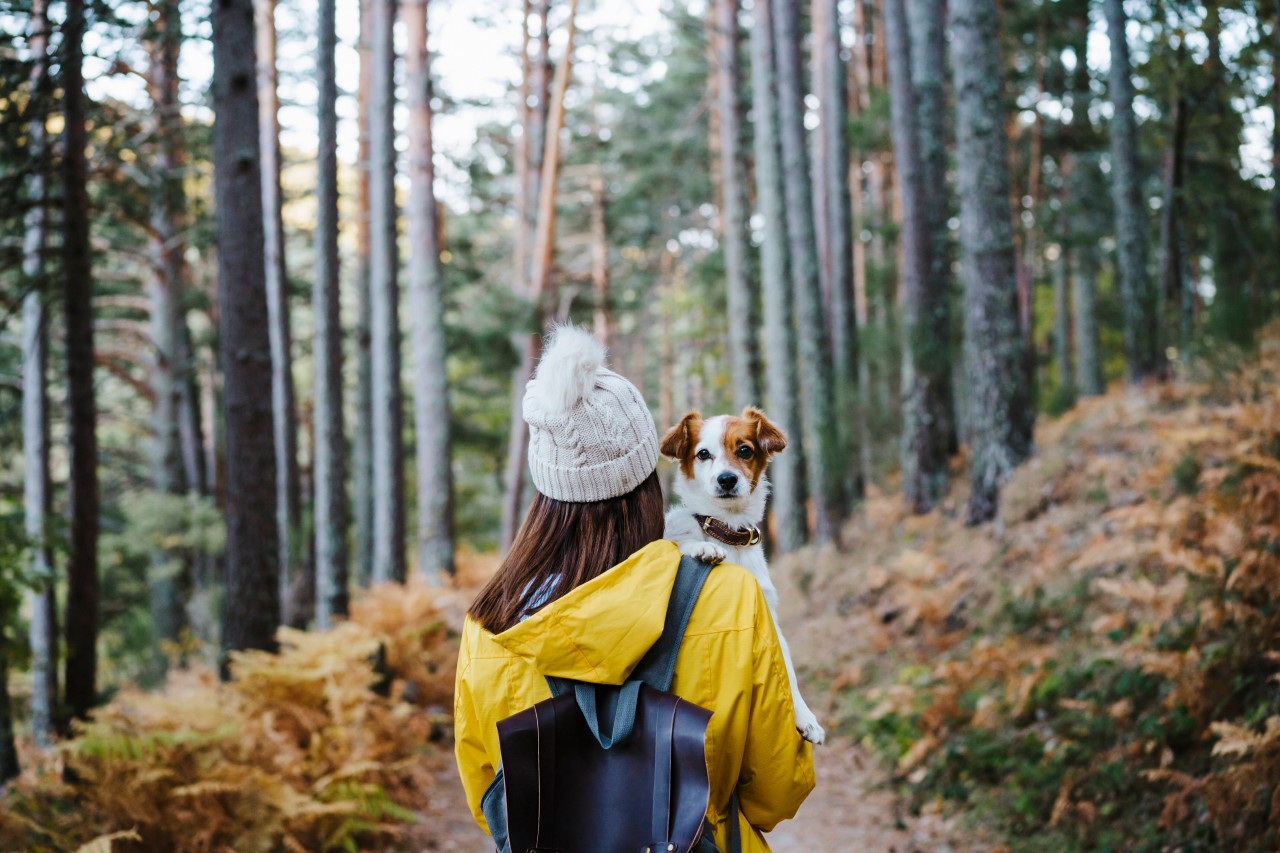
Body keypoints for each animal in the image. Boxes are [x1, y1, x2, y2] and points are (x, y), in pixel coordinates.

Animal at [660, 404, 829, 742]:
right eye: (703, 454)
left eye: (744, 450)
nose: (727, 479)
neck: (728, 530)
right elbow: (681, 539)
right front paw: (701, 547)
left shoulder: (767, 615)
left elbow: (787, 669)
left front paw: (805, 716)